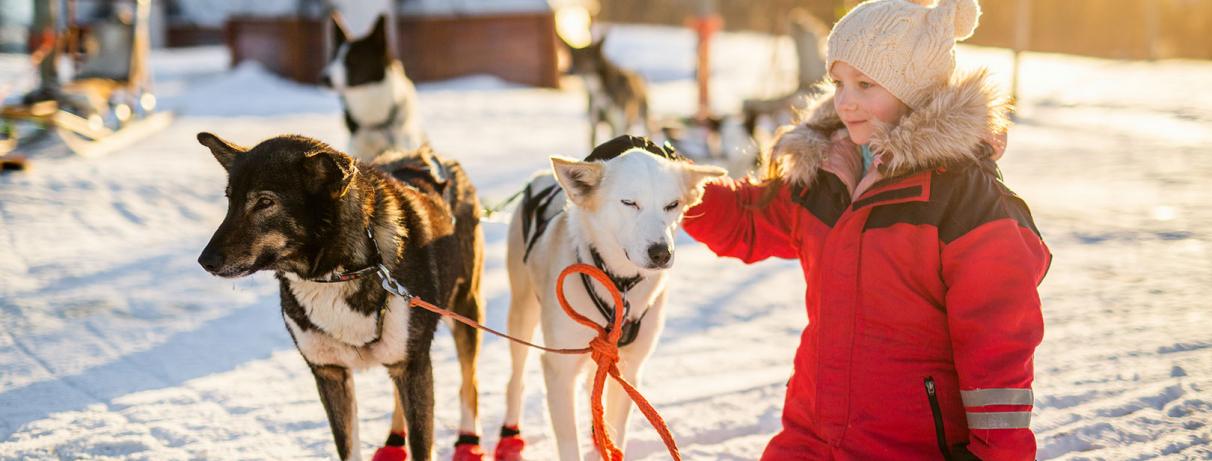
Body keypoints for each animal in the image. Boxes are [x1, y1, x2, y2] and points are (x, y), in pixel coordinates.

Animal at [489, 137, 717, 461]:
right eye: (629, 203)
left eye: (672, 205)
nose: (661, 253)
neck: (617, 285)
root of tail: (541, 178)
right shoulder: (558, 369)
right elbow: (569, 444)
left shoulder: (629, 369)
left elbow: (614, 428)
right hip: (522, 315)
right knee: (515, 381)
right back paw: (509, 436)